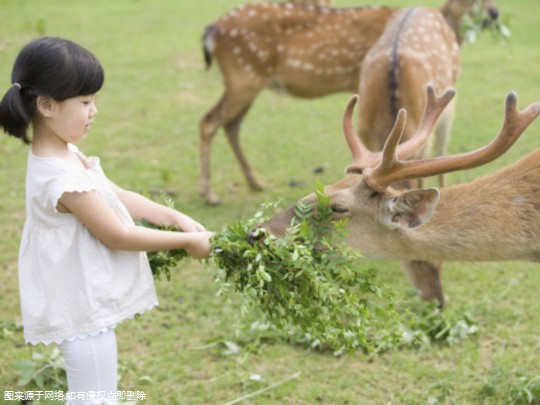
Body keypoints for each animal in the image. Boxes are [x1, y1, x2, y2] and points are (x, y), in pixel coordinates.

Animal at [198, 0, 498, 205]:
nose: (495, 13)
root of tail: (211, 29)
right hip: (243, 75)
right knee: (209, 120)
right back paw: (209, 194)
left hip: (250, 80)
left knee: (231, 124)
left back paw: (255, 182)